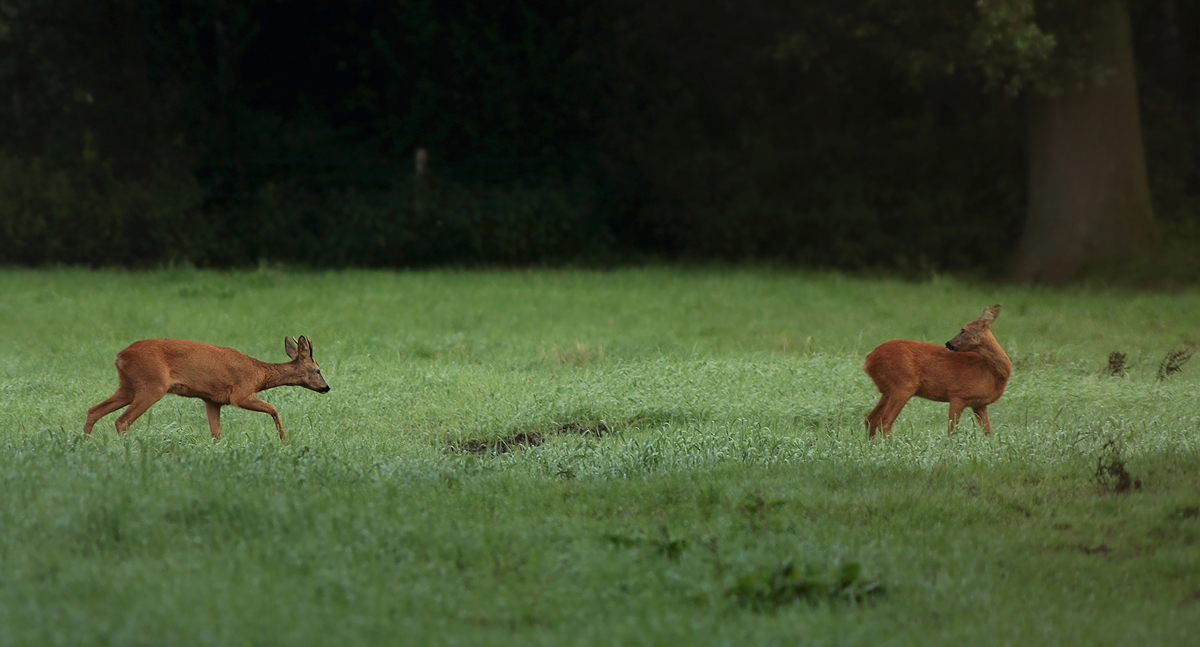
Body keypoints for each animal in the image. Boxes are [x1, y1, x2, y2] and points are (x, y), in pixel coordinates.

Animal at [82, 336, 331, 444]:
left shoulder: (212, 400)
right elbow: (273, 408)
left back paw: (84, 443)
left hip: (128, 386)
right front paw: (284, 440)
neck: (259, 373)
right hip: (151, 385)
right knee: (121, 420)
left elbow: (216, 432)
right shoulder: (240, 393)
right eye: (318, 370)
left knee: (94, 410)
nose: (326, 387)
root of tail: (120, 356)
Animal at [864, 304, 1012, 436]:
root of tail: (869, 359)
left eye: (963, 330)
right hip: (904, 384)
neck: (991, 373)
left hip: (887, 389)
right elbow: (951, 431)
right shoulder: (957, 395)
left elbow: (988, 432)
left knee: (871, 419)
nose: (948, 343)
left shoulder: (979, 405)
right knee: (885, 421)